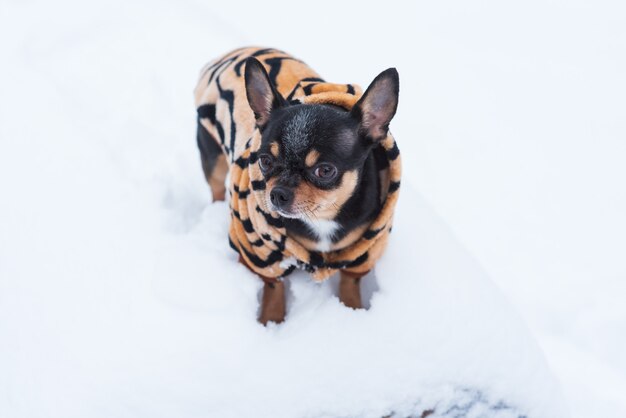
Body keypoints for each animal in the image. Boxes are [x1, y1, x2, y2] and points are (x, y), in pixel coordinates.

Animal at [194, 48, 400, 324]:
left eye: (325, 170)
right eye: (264, 160)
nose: (277, 194)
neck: (323, 219)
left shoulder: (364, 250)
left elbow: (350, 283)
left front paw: (351, 311)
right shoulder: (261, 251)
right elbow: (274, 286)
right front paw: (271, 319)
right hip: (212, 155)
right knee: (216, 187)